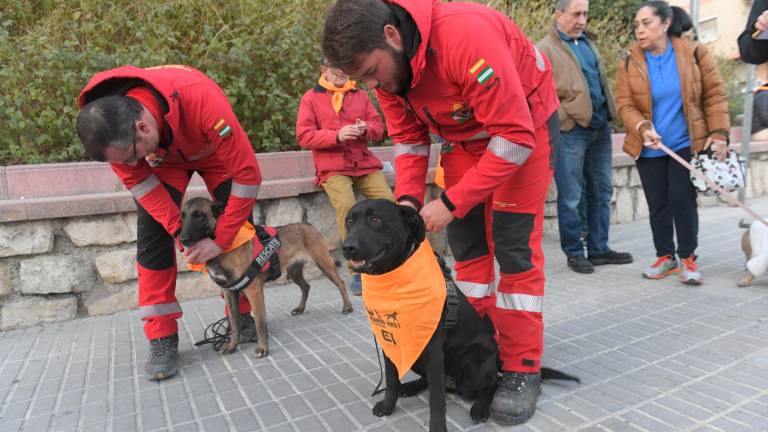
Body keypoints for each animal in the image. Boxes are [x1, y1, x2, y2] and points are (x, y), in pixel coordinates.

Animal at [178, 197, 352, 356]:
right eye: (182, 216)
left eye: (199, 215)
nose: (182, 239)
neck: (221, 248)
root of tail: (308, 225)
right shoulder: (229, 292)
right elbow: (234, 323)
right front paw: (232, 345)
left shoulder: (254, 291)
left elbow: (260, 323)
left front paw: (262, 348)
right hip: (293, 272)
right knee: (306, 286)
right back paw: (300, 308)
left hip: (324, 264)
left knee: (341, 283)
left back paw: (347, 307)